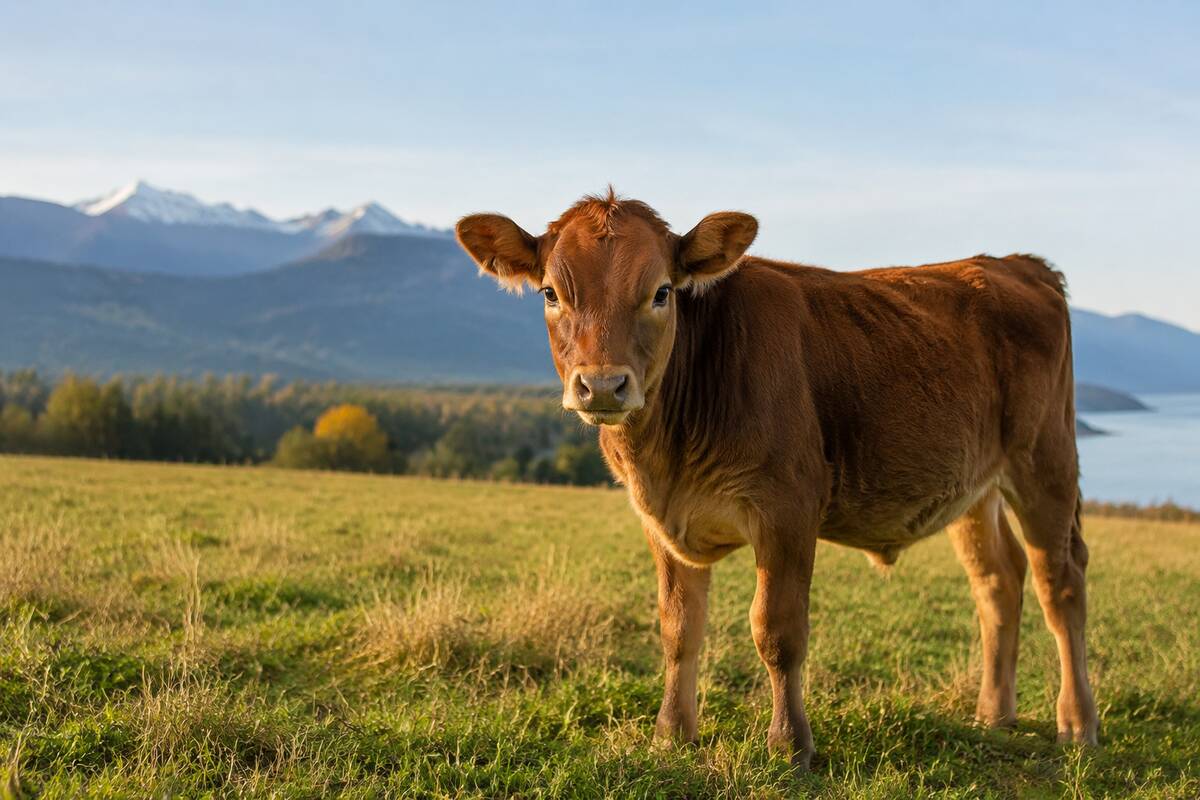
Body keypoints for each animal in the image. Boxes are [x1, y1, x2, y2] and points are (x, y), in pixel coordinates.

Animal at [455, 189, 1098, 766]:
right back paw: (995, 712)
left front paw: (790, 745)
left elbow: (777, 630)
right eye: (551, 293)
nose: (603, 385)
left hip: (1045, 462)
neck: (671, 455)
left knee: (1059, 582)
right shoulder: (659, 520)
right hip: (973, 486)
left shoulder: (787, 509)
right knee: (998, 580)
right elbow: (678, 628)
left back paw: (1077, 724)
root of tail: (1014, 262)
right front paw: (672, 733)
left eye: (661, 291)